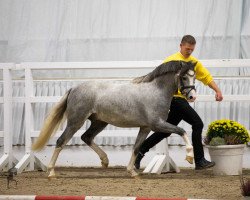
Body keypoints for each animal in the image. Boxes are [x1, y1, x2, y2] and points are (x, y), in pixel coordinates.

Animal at [32, 60, 196, 177]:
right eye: (184, 77)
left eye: (194, 76)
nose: (192, 97)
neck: (156, 91)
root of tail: (73, 89)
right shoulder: (157, 124)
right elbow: (181, 130)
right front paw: (189, 156)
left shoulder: (146, 127)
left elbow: (136, 147)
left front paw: (132, 172)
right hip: (76, 121)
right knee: (61, 141)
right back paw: (51, 172)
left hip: (99, 122)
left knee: (86, 137)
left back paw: (105, 161)